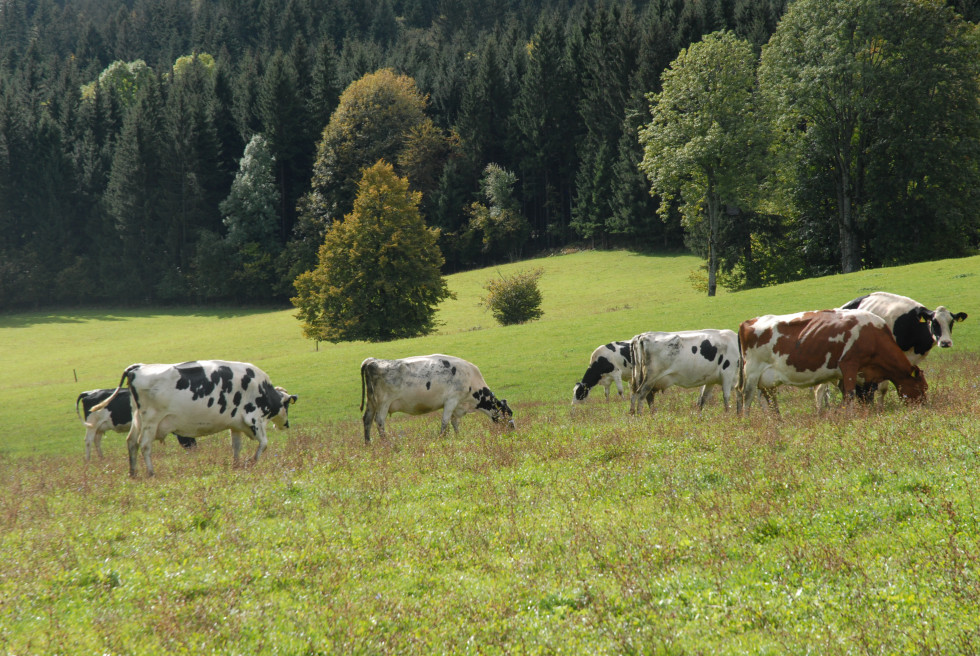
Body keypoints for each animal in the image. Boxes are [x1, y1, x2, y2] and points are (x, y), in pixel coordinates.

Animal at [92, 358, 298, 476]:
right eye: (287, 405)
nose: (286, 424)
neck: (262, 389)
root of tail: (137, 367)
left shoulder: (236, 424)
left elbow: (236, 446)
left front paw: (237, 464)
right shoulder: (254, 418)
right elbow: (264, 444)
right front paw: (252, 461)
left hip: (138, 418)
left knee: (131, 442)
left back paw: (133, 473)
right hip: (151, 420)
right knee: (144, 445)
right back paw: (151, 472)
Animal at [358, 354, 512, 440]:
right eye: (508, 415)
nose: (512, 431)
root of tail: (372, 361)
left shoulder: (457, 405)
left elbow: (454, 422)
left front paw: (458, 437)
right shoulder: (451, 400)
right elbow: (445, 422)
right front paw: (442, 438)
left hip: (371, 402)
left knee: (367, 420)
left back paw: (368, 443)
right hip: (383, 402)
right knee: (379, 421)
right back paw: (386, 442)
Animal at [740, 308, 932, 416]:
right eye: (922, 387)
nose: (923, 407)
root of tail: (750, 321)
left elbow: (856, 394)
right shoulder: (849, 364)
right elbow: (850, 394)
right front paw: (850, 415)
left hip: (767, 379)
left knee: (770, 399)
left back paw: (777, 420)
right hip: (752, 373)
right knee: (747, 398)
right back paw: (746, 421)